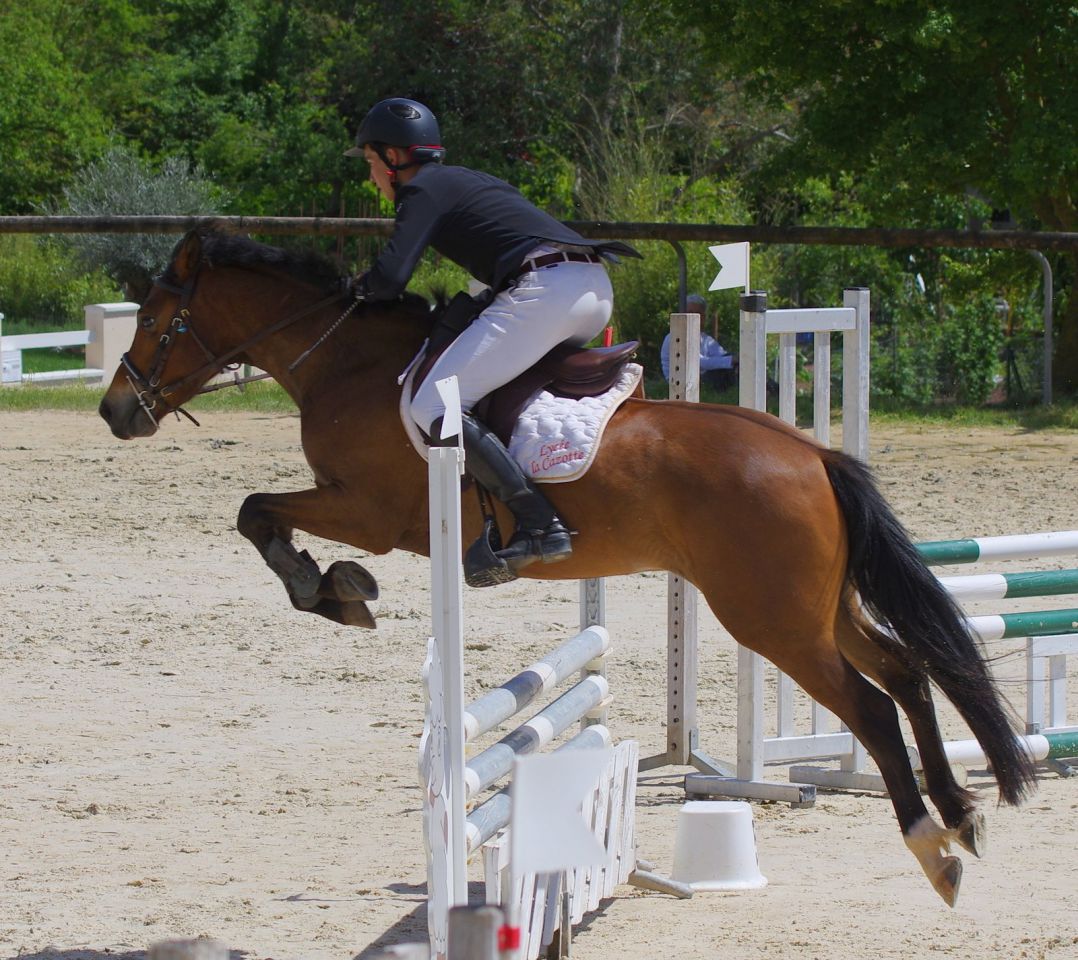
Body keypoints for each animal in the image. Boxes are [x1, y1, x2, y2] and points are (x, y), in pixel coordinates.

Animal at [98, 226, 1035, 907]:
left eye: (151, 321)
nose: (115, 412)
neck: (346, 361)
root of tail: (812, 454)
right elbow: (256, 511)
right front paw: (335, 587)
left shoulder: (367, 510)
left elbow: (256, 511)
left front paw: (331, 589)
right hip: (819, 607)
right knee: (910, 673)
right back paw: (961, 815)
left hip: (770, 618)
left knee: (873, 706)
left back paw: (932, 848)